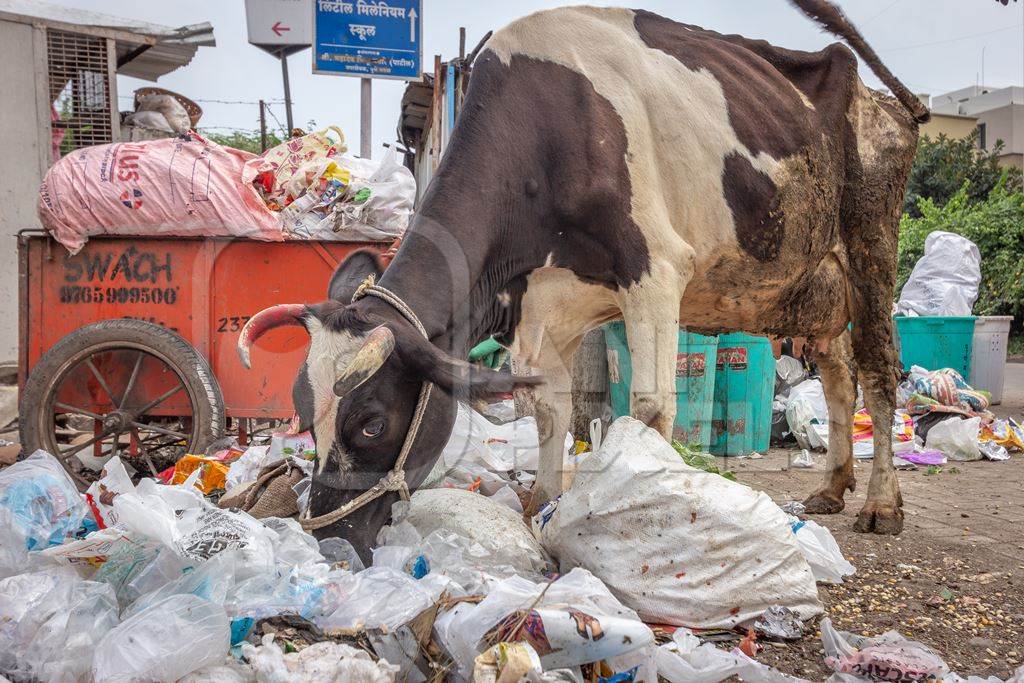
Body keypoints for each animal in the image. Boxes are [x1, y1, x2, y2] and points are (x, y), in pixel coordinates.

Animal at [239, 0, 929, 557]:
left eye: (372, 423)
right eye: (304, 417)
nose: (329, 538)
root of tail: (885, 100)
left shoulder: (655, 271)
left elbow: (650, 408)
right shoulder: (544, 309)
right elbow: (551, 411)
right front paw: (541, 507)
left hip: (871, 241)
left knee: (878, 370)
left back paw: (880, 503)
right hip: (813, 285)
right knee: (838, 377)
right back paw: (833, 487)